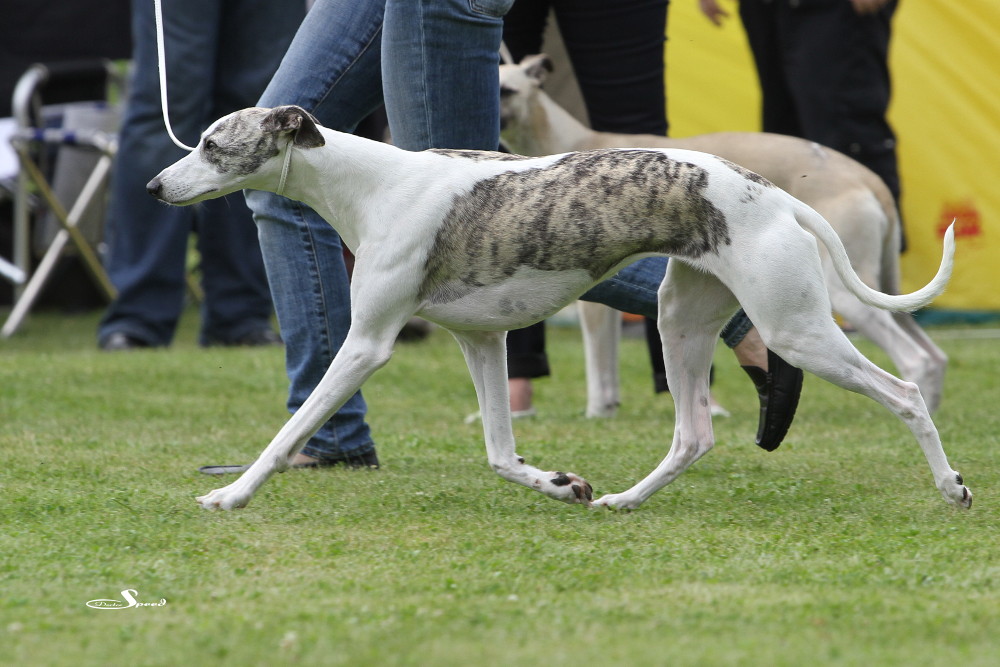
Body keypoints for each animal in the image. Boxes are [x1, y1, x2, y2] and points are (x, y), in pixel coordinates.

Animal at [147, 105, 971, 512]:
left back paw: (951, 487)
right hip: (681, 318)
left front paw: (230, 493)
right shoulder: (482, 341)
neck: (371, 184)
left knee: (903, 389)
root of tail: (771, 192)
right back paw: (624, 500)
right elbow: (498, 451)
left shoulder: (367, 344)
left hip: (797, 328)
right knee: (694, 433)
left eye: (214, 144)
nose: (154, 186)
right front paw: (560, 484)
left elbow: (289, 429)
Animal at [499, 55, 948, 418]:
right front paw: (606, 410)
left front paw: (596, 413)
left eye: (508, 89)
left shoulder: (592, 301)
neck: (570, 139)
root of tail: (869, 177)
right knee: (934, 355)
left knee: (913, 358)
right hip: (877, 285)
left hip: (841, 293)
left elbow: (598, 366)